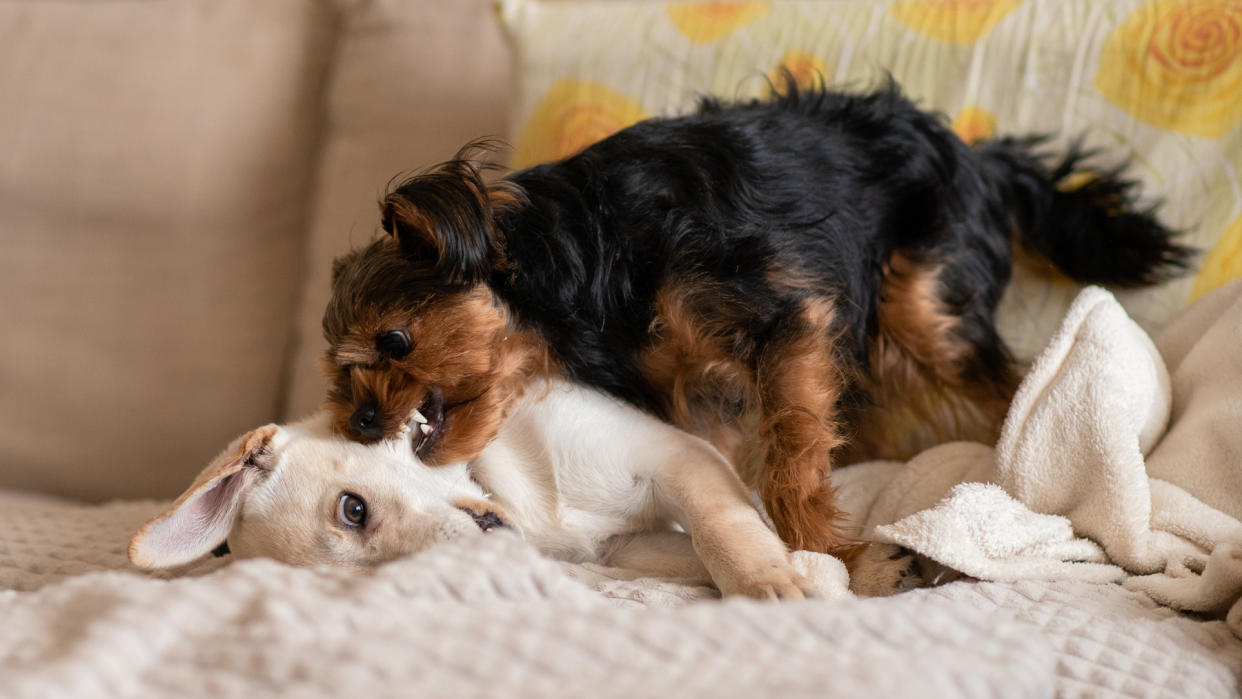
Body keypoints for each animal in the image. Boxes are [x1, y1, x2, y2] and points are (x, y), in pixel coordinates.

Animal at [131, 379, 819, 598]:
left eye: (353, 510)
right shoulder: (623, 548)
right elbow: (698, 549)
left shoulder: (676, 456)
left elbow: (721, 529)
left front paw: (766, 582)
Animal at [317, 85, 1182, 566]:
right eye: (341, 375)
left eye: (394, 340)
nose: (360, 420)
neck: (575, 268)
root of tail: (980, 155)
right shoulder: (692, 392)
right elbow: (732, 459)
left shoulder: (785, 321)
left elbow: (790, 450)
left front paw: (823, 548)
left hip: (926, 301)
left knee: (1005, 376)